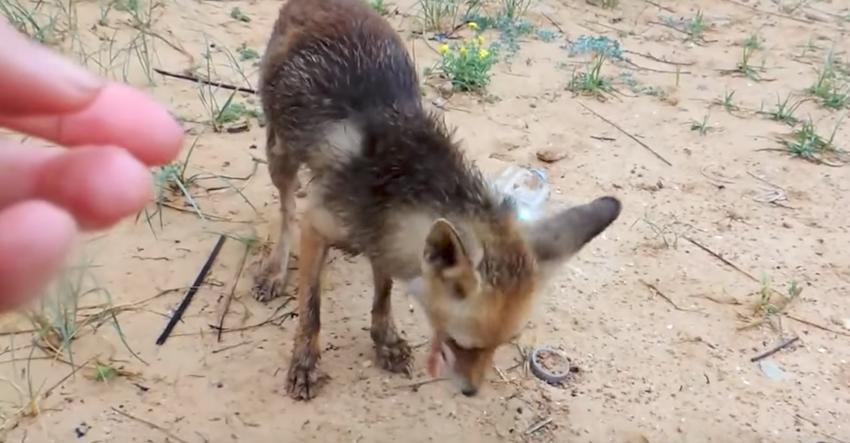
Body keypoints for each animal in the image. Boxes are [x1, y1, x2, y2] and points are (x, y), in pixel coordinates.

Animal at [253, 0, 624, 398]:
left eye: (501, 345)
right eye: (459, 342)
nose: (472, 392)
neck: (398, 176)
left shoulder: (385, 237)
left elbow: (383, 293)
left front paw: (385, 339)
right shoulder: (318, 225)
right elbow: (311, 310)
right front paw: (305, 362)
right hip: (280, 155)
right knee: (287, 209)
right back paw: (275, 270)